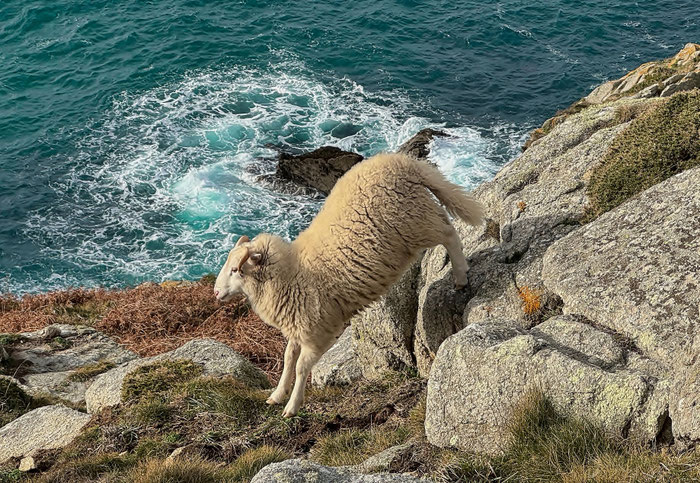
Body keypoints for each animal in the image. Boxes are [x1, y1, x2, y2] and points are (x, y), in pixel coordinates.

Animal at [214, 152, 484, 417]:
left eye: (235, 270)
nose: (216, 292)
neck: (291, 274)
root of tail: (404, 163)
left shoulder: (318, 332)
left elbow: (301, 367)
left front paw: (292, 406)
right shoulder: (298, 326)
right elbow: (289, 358)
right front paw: (277, 395)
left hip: (416, 221)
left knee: (449, 232)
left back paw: (461, 276)